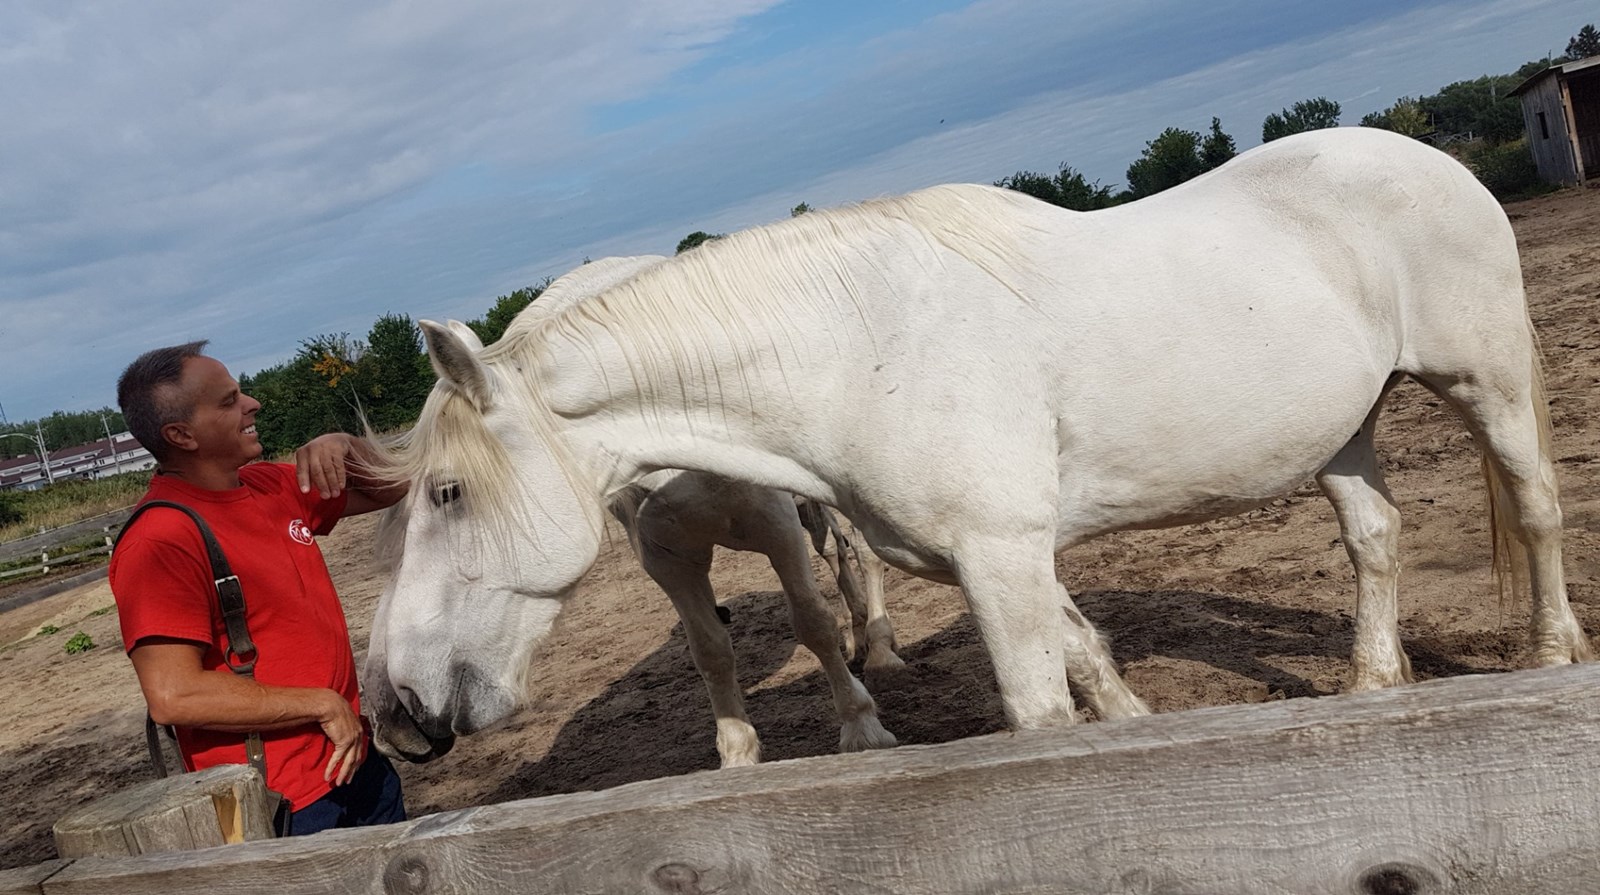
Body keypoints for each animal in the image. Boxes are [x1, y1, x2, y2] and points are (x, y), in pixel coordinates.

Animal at [364, 256, 899, 766]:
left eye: (448, 492)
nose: (397, 706)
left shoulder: (776, 530)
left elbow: (813, 621)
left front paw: (861, 729)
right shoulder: (670, 564)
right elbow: (711, 653)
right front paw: (738, 757)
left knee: (856, 553)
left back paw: (879, 648)